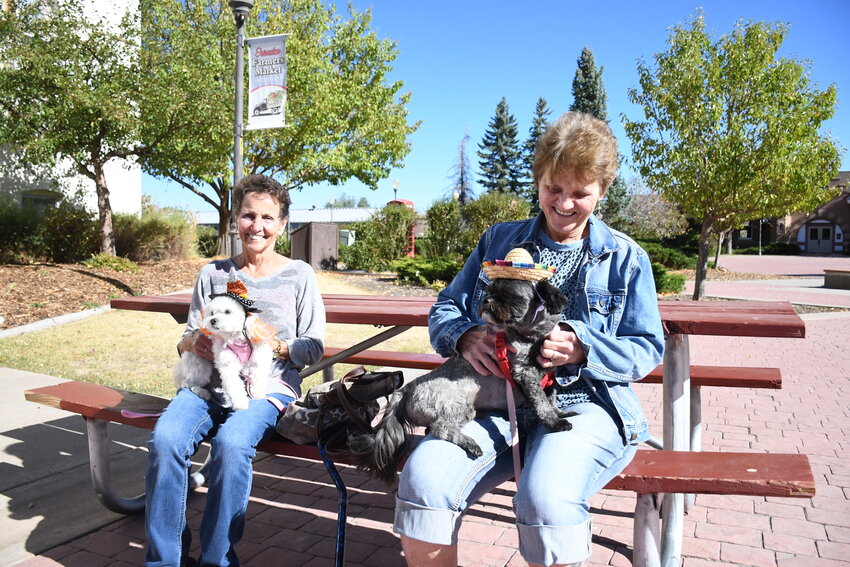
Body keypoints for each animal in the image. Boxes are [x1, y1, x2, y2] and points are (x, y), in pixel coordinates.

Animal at [173, 270, 274, 408]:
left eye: (227, 311)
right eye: (212, 313)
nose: (213, 320)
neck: (237, 338)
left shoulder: (259, 358)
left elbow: (257, 377)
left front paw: (258, 394)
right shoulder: (228, 364)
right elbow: (234, 385)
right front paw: (241, 403)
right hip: (201, 367)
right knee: (188, 383)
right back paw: (202, 392)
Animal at [346, 248, 576, 484]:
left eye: (508, 294)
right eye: (489, 290)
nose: (487, 300)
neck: (533, 336)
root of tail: (407, 389)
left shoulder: (550, 373)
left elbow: (551, 398)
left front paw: (560, 413)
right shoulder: (524, 373)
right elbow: (541, 403)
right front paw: (554, 422)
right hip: (458, 406)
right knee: (440, 428)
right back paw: (469, 443)